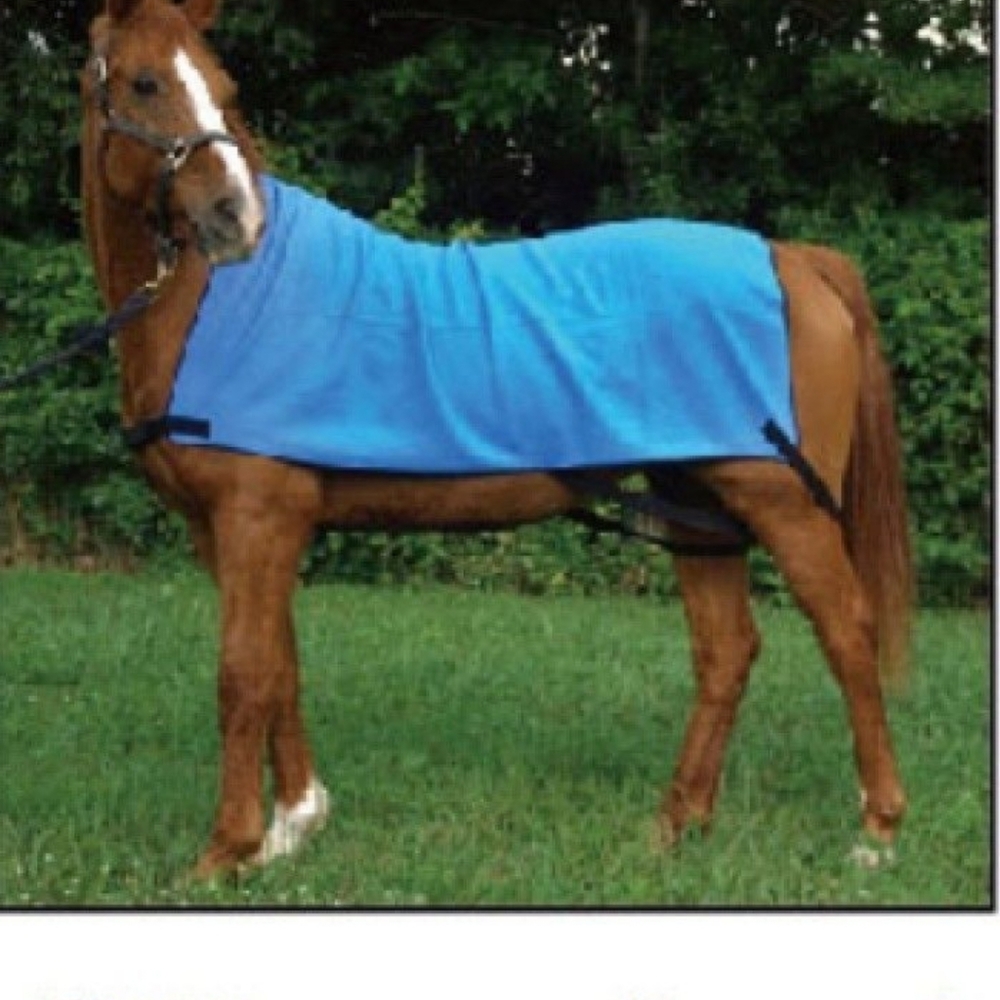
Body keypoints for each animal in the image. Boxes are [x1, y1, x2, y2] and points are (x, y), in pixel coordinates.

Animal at [81, 0, 912, 879]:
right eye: (145, 82)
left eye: (224, 84)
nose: (236, 220)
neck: (216, 305)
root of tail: (793, 259)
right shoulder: (227, 530)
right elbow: (279, 663)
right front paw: (291, 826)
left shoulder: (259, 516)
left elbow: (243, 672)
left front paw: (224, 852)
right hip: (697, 506)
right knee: (727, 650)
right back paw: (674, 825)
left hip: (784, 503)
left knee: (846, 632)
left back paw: (877, 830)